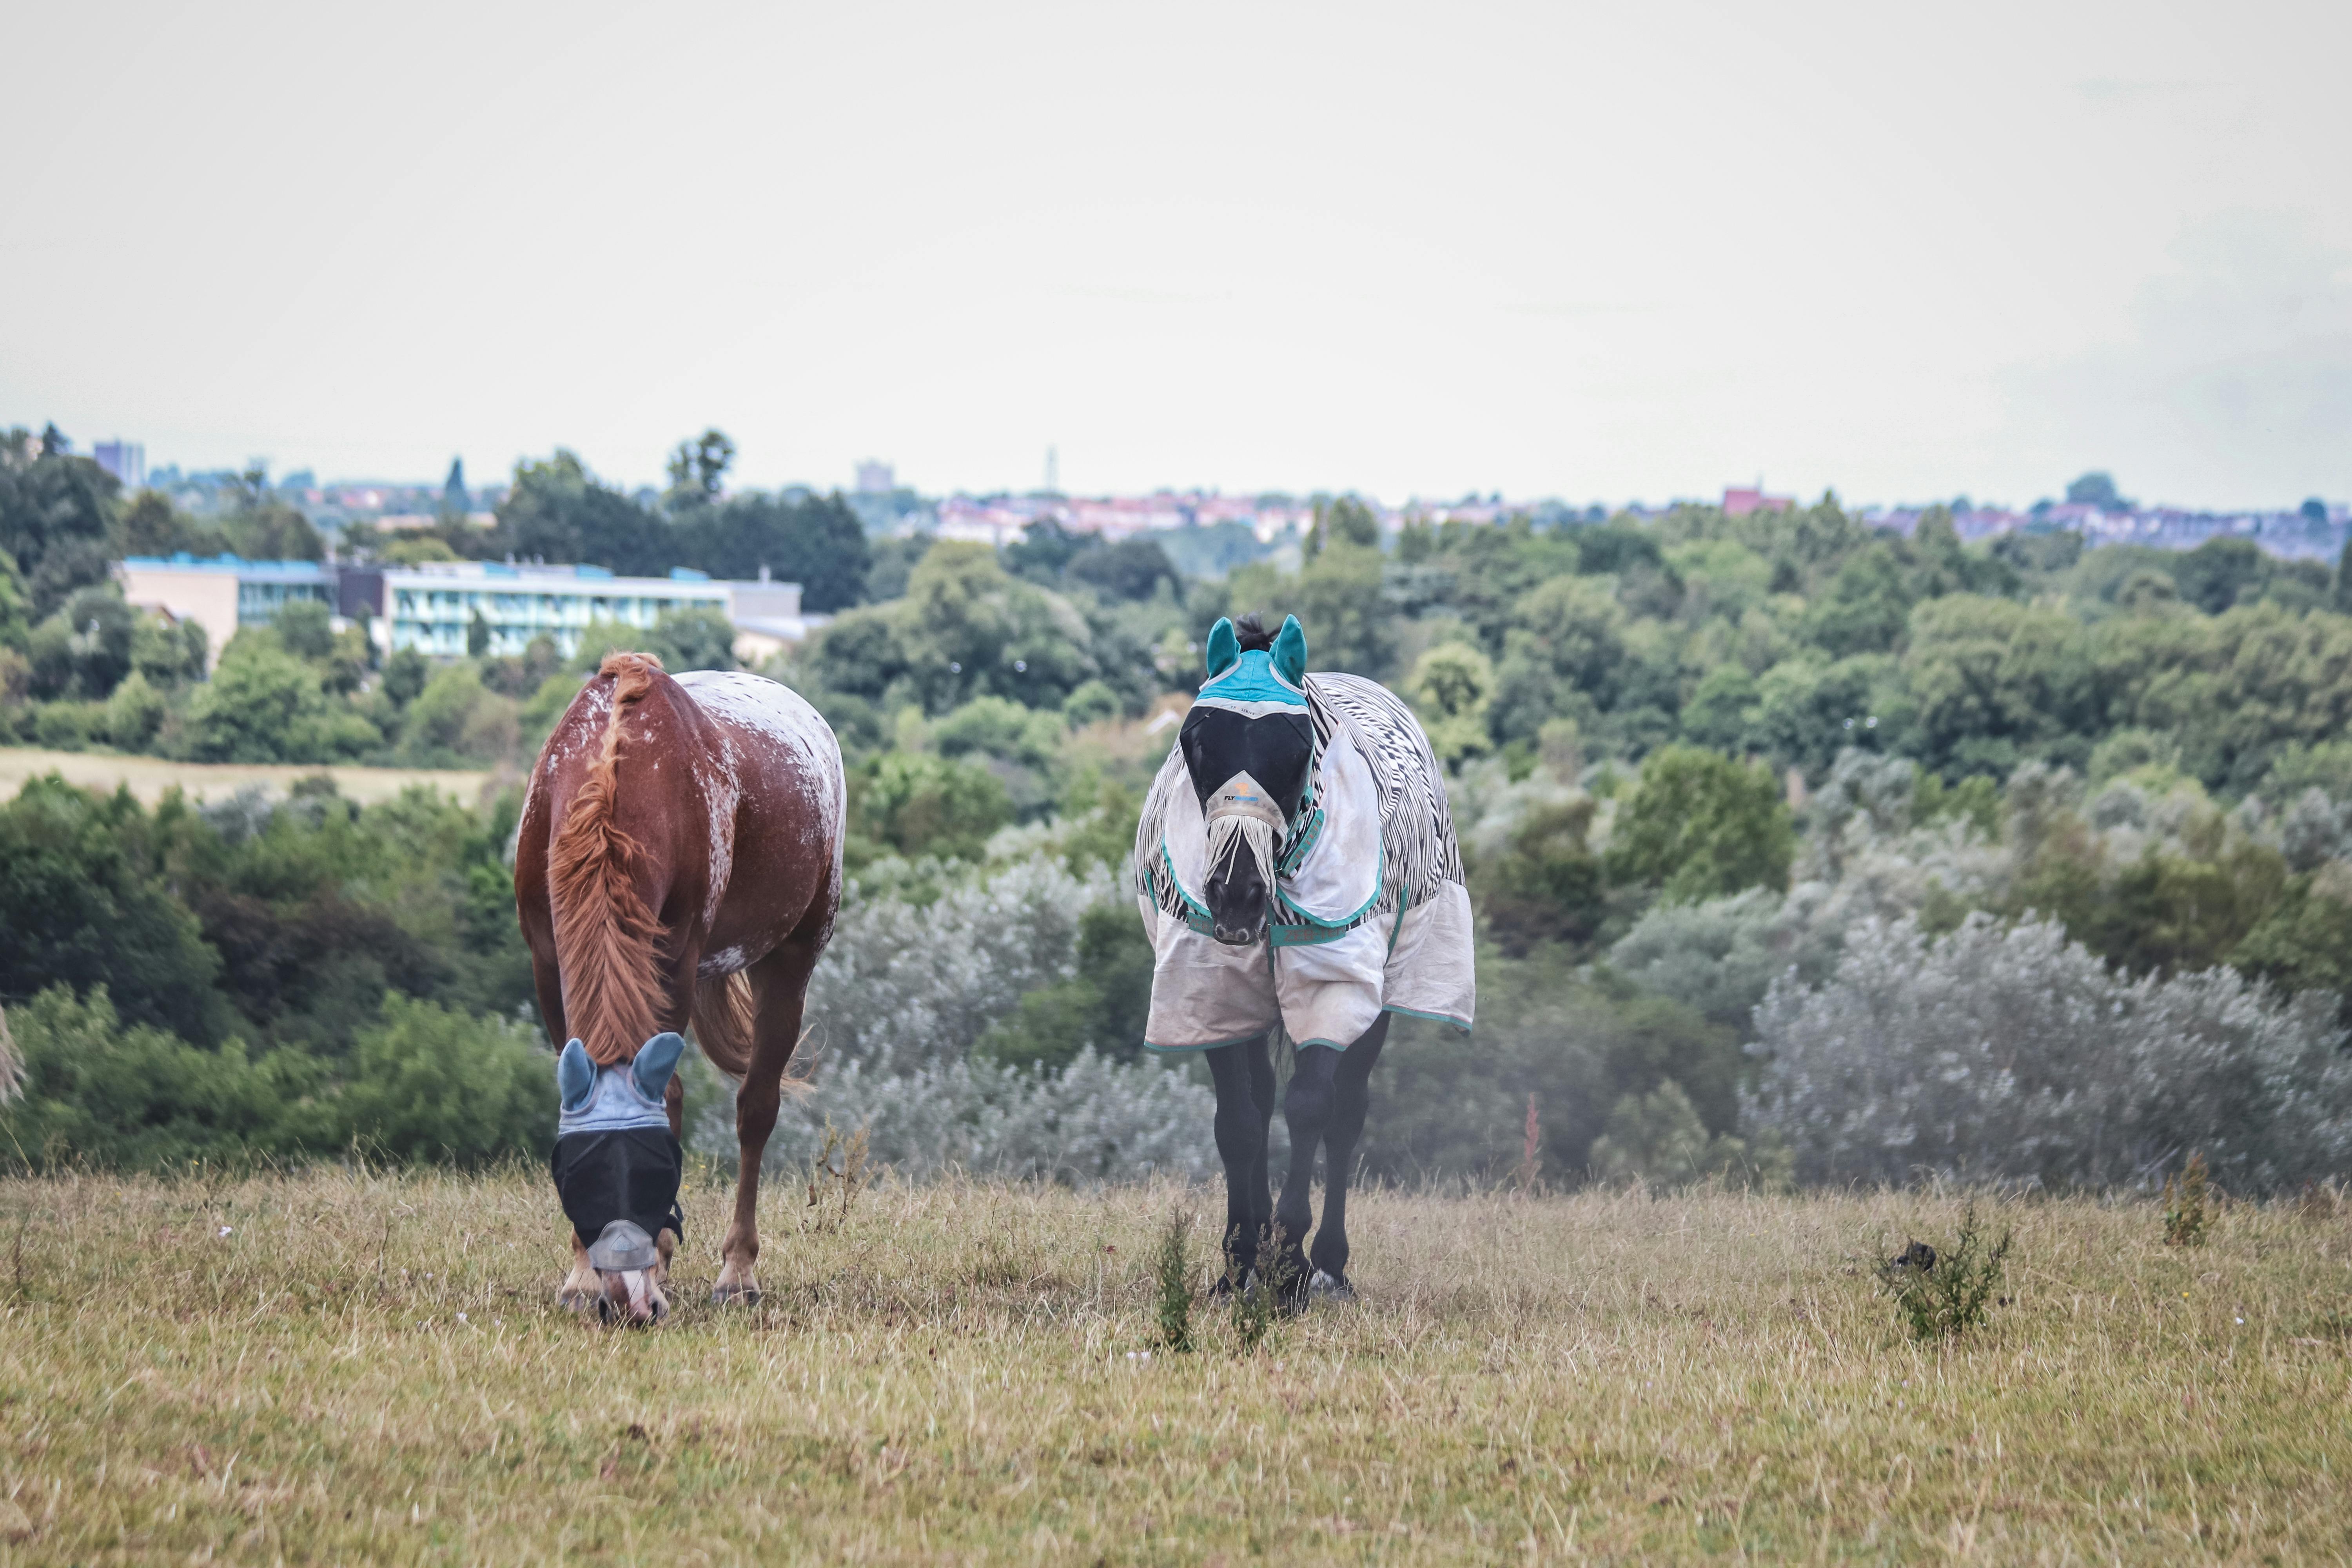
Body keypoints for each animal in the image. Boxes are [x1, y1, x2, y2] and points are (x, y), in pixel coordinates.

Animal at [520, 649, 851, 1326]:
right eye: (578, 1182)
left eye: (656, 1178)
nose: (629, 1305)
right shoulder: (547, 960)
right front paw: (581, 1277)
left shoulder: (672, 957)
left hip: (791, 957)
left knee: (757, 1109)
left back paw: (738, 1272)